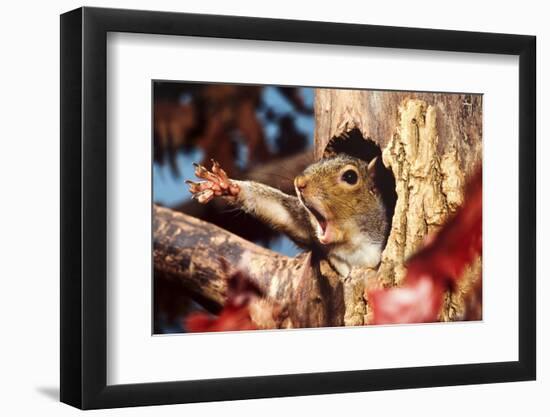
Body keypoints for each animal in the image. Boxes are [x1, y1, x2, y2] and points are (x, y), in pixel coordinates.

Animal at [188, 153, 390, 276]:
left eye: (350, 177)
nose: (299, 183)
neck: (351, 243)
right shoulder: (308, 230)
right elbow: (280, 211)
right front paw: (224, 186)